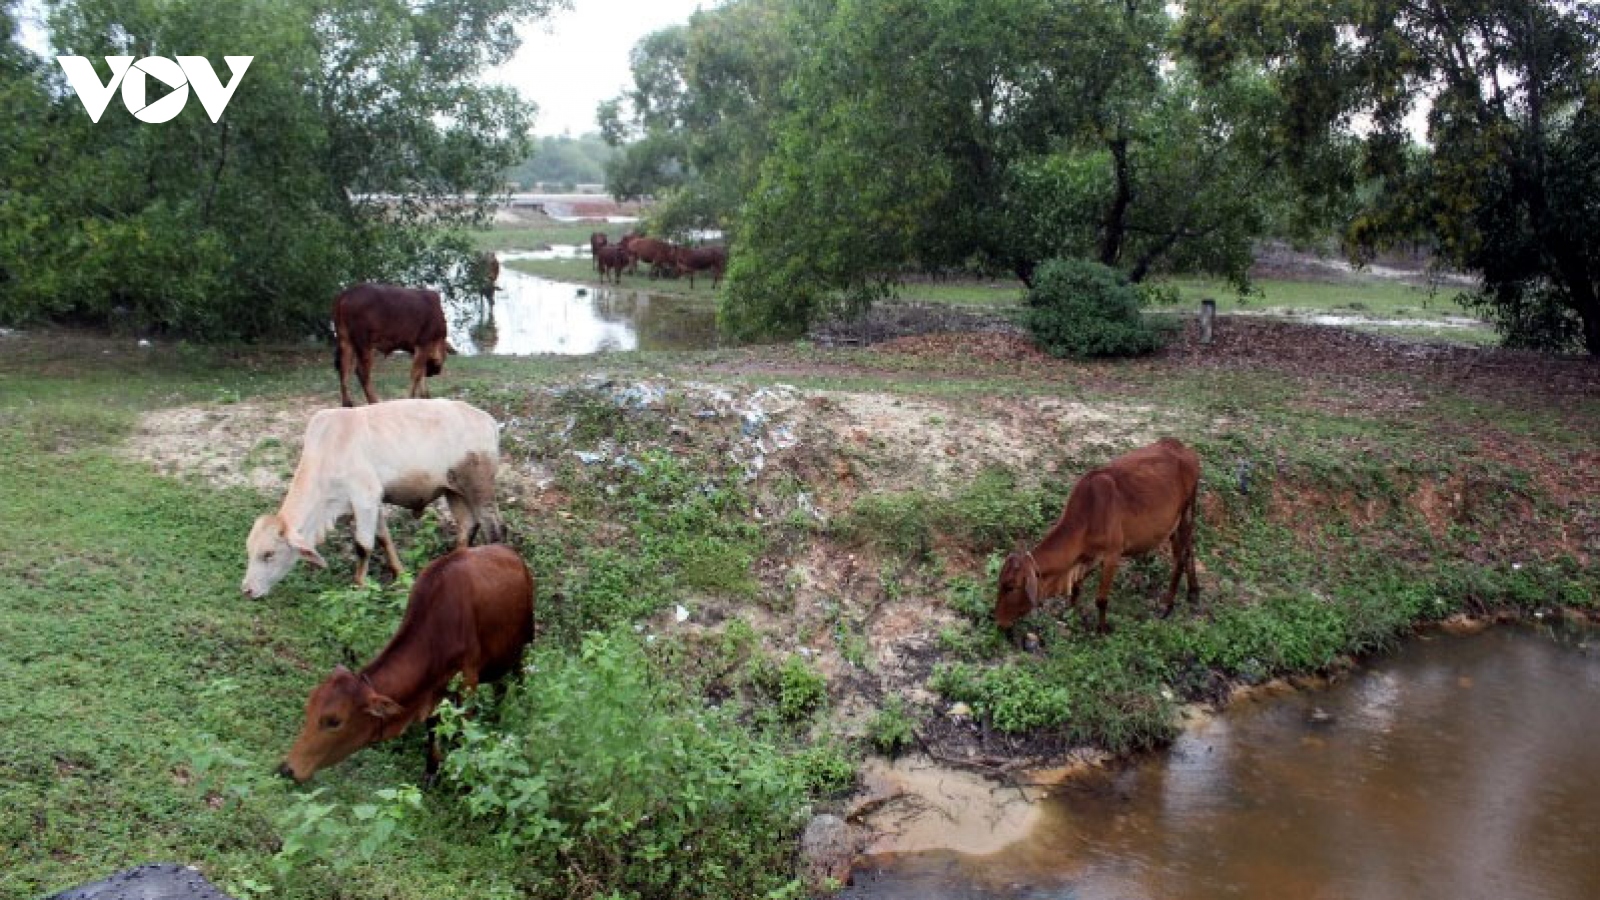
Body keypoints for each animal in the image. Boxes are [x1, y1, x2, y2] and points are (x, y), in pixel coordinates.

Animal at [240, 397, 502, 595]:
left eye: (268, 554)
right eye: (249, 550)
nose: (247, 590)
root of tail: (488, 420)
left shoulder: (365, 497)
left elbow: (363, 545)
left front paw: (359, 585)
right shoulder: (372, 502)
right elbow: (384, 537)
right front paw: (399, 573)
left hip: (480, 489)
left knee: (494, 529)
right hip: (453, 491)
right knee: (467, 526)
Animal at [278, 538, 534, 778]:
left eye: (334, 721)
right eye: (308, 710)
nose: (286, 769)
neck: (437, 631)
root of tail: (510, 552)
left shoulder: (467, 683)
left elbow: (462, 732)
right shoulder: (433, 692)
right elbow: (433, 727)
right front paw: (432, 769)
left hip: (525, 643)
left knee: (519, 676)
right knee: (500, 686)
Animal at [985, 435, 1203, 630]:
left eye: (1010, 587)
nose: (999, 622)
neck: (1089, 514)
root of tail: (1182, 447)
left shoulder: (1113, 555)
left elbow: (1101, 599)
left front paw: (1101, 629)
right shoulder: (1086, 558)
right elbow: (1076, 588)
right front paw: (1070, 614)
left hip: (1186, 513)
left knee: (1181, 558)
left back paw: (1167, 606)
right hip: (1176, 523)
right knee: (1189, 550)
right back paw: (1193, 592)